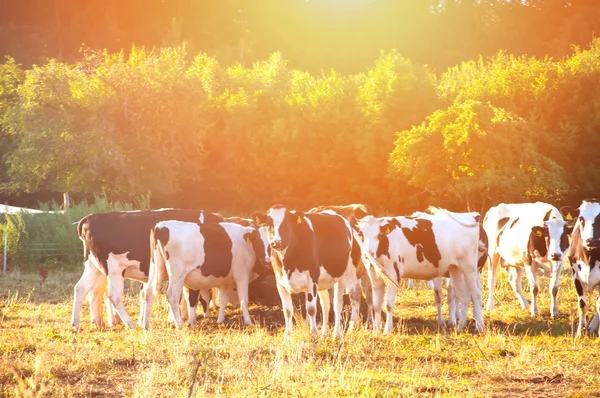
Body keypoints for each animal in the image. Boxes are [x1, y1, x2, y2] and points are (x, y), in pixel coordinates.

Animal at [72, 208, 223, 330]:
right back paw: (128, 324)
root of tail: (90, 217)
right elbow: (183, 294)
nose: (209, 312)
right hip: (113, 269)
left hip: (93, 266)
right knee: (112, 295)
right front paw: (176, 319)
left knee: (82, 289)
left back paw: (81, 324)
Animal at [251, 205, 386, 338]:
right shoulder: (280, 282)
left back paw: (340, 333)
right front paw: (287, 338)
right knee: (326, 304)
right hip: (325, 281)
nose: (277, 242)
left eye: (287, 223)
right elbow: (287, 311)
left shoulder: (312, 280)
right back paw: (325, 333)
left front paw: (313, 335)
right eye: (269, 224)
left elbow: (311, 309)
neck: (288, 261)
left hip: (347, 274)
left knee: (344, 301)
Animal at [564, 199, 600, 336]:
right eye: (581, 218)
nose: (591, 241)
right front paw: (580, 332)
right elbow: (582, 305)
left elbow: (599, 305)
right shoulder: (576, 276)